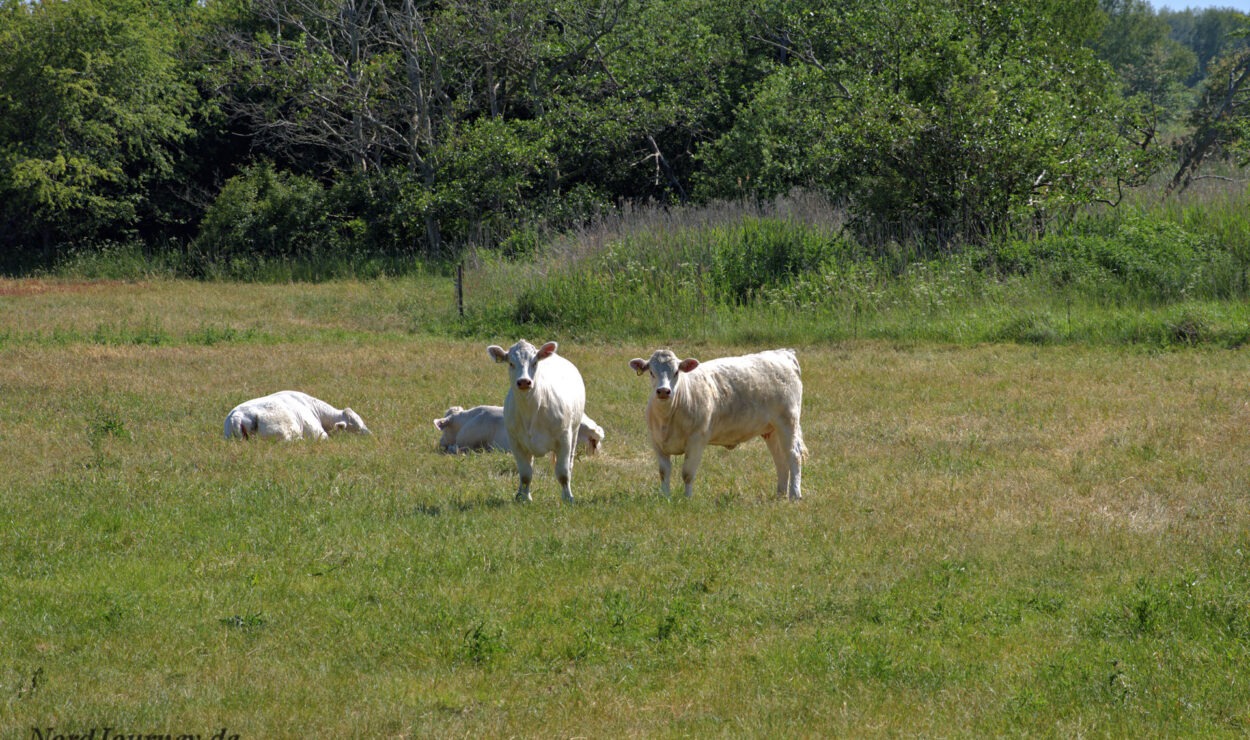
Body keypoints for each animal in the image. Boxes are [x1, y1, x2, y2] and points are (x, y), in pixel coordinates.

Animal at [485, 340, 587, 502]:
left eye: (534, 362)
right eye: (511, 363)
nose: (524, 382)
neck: (531, 410)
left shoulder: (564, 438)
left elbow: (563, 473)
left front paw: (568, 498)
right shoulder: (515, 442)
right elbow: (525, 473)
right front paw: (524, 498)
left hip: (575, 431)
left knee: (569, 464)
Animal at [625, 347, 810, 500]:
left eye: (676, 372)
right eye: (651, 372)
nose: (663, 391)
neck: (668, 417)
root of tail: (783, 353)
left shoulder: (696, 441)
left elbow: (687, 473)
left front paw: (687, 499)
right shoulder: (657, 442)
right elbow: (664, 472)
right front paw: (666, 498)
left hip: (788, 422)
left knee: (793, 455)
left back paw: (794, 494)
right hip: (771, 430)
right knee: (780, 460)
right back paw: (780, 493)